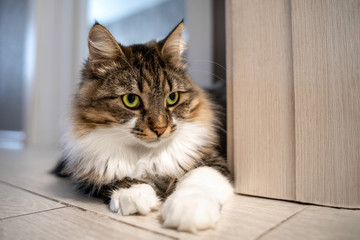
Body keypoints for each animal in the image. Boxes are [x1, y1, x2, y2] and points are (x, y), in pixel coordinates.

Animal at [54, 19, 233, 233]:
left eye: (173, 98)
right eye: (131, 100)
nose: (160, 129)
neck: (146, 154)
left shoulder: (213, 160)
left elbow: (197, 179)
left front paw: (189, 210)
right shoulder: (91, 170)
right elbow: (118, 177)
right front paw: (135, 195)